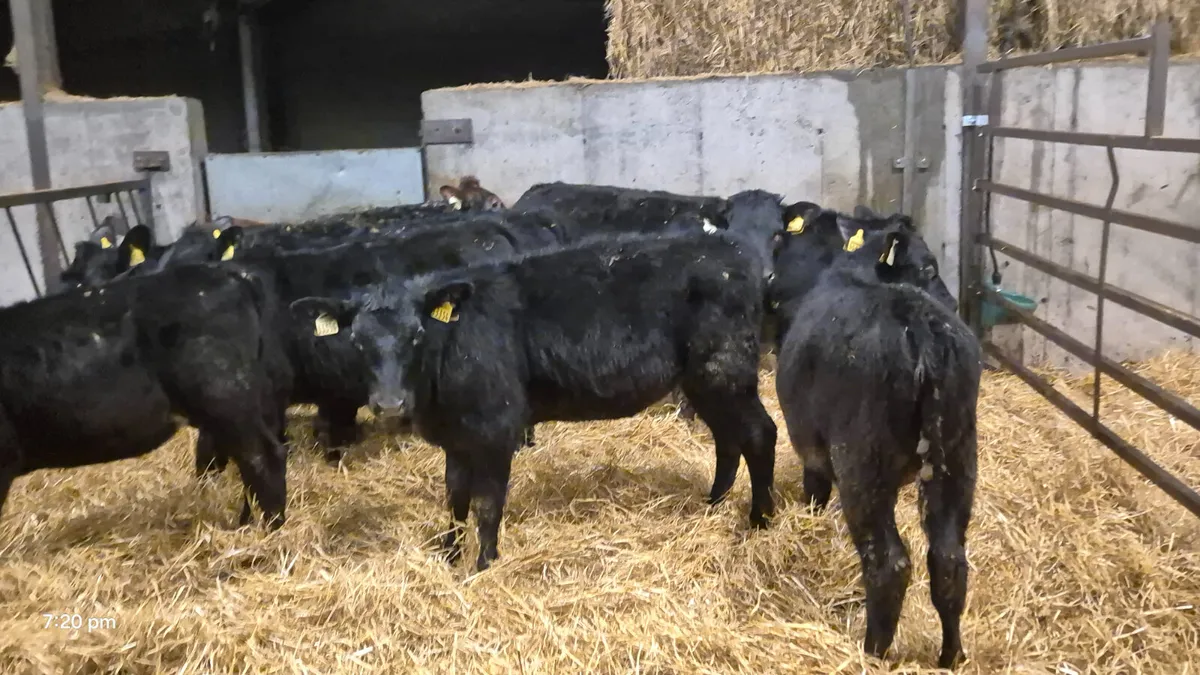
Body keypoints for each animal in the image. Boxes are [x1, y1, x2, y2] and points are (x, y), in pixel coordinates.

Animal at [292, 231, 778, 571]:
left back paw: (760, 519)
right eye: (357, 341)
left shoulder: (495, 427)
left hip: (725, 370)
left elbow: (488, 504)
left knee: (759, 433)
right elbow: (455, 498)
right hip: (704, 380)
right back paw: (712, 505)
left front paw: (483, 565)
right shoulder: (457, 436)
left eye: (416, 335)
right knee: (727, 439)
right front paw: (448, 557)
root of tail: (734, 253)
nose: (390, 403)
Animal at [772, 211, 977, 669]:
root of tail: (923, 331)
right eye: (928, 267)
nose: (953, 302)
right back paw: (950, 655)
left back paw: (872, 652)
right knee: (949, 560)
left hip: (863, 463)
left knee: (888, 564)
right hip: (958, 458)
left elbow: (814, 492)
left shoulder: (813, 449)